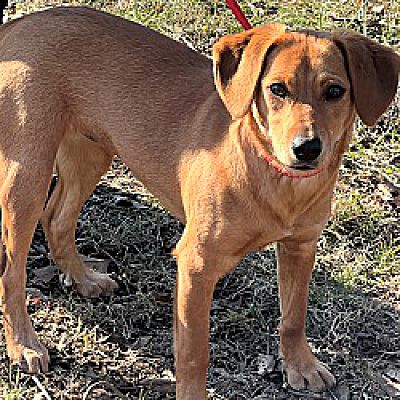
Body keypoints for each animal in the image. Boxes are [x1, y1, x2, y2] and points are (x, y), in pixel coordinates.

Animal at [0, 5, 398, 396]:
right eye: (277, 89)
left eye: (335, 91)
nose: (307, 149)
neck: (274, 178)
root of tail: (21, 22)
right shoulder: (196, 265)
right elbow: (194, 354)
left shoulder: (301, 247)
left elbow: (294, 316)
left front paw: (301, 364)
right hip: (27, 177)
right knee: (12, 271)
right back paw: (24, 344)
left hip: (92, 152)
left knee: (57, 219)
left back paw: (83, 277)